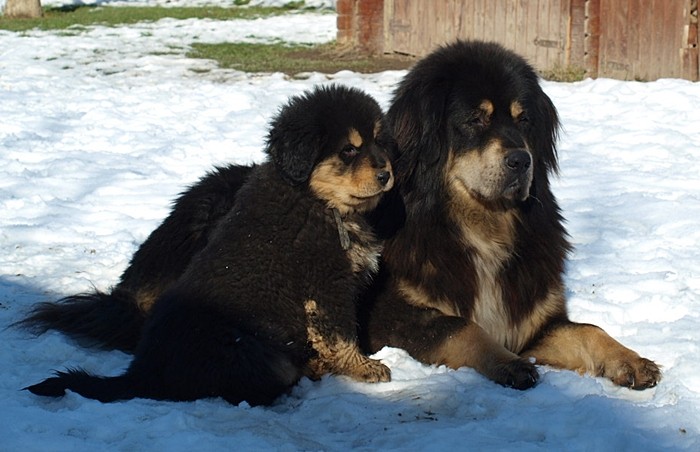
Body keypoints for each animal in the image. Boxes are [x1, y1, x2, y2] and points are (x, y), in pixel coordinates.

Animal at [24, 85, 394, 406]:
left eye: (380, 143)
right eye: (349, 149)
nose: (386, 174)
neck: (315, 201)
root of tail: (141, 374)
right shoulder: (325, 283)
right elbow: (340, 333)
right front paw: (364, 367)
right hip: (255, 352)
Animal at [358, 40, 661, 390]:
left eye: (523, 119)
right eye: (476, 119)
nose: (521, 160)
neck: (485, 227)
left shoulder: (536, 324)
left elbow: (588, 330)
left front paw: (629, 359)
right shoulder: (391, 315)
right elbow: (461, 327)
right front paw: (507, 363)